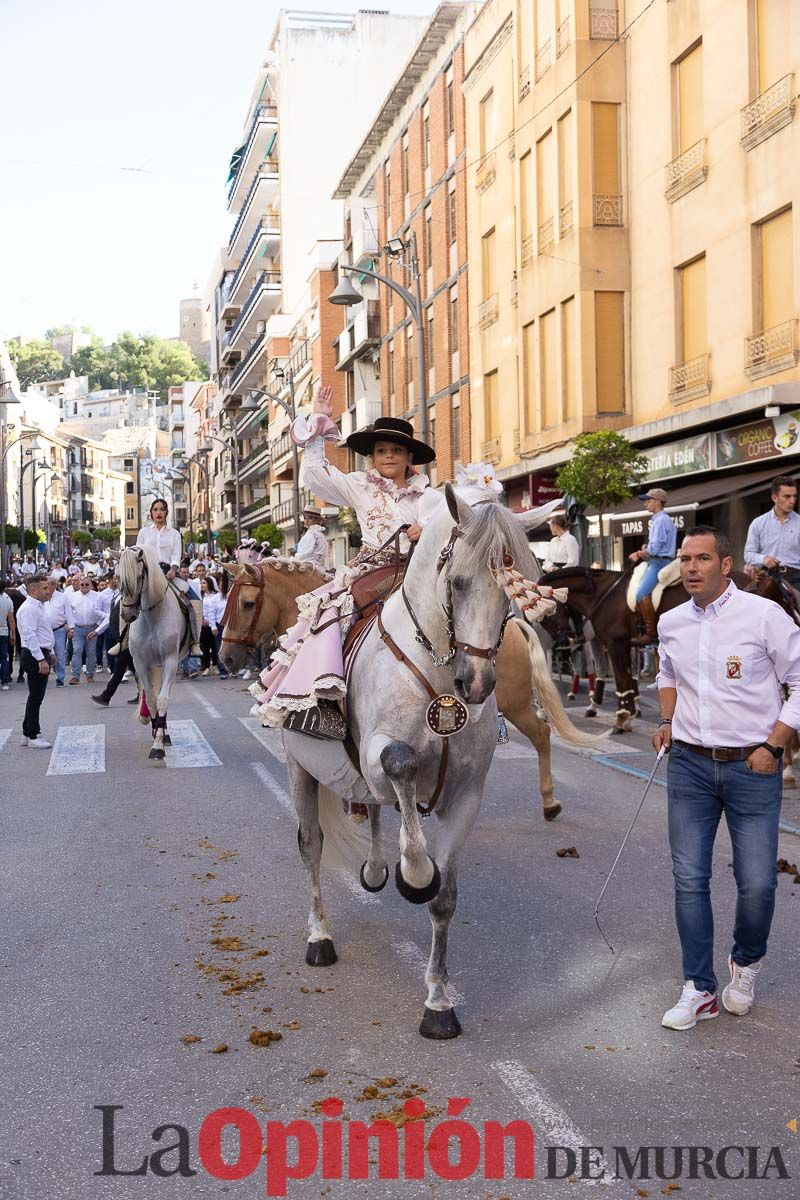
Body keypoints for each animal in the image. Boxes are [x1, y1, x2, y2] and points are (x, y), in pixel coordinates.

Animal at [118, 544, 190, 758]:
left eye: (139, 576)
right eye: (118, 577)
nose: (127, 614)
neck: (152, 616)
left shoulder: (170, 661)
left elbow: (162, 700)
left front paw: (158, 744)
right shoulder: (140, 663)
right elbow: (151, 700)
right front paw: (153, 730)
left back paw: (164, 733)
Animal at [219, 556, 606, 820]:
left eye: (247, 603)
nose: (226, 657)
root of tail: (515, 626)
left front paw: (358, 807)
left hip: (514, 704)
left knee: (541, 733)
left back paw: (549, 801)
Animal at [272, 487, 578, 1041]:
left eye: (517, 588)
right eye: (457, 582)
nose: (476, 684)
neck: (436, 673)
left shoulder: (467, 797)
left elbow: (444, 898)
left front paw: (438, 1003)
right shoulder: (379, 754)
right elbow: (402, 766)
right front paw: (414, 873)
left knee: (371, 811)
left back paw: (375, 869)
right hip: (298, 770)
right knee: (312, 847)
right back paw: (320, 937)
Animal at [534, 568, 791, 729]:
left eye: (548, 610)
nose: (563, 639)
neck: (604, 594)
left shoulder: (615, 644)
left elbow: (621, 679)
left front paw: (622, 719)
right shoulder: (623, 645)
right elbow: (627, 680)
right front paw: (628, 714)